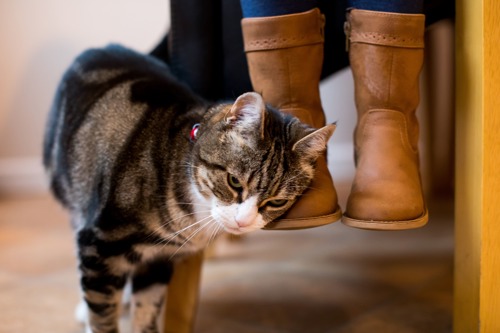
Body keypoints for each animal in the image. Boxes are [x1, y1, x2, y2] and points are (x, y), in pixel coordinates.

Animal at [44, 44, 336, 332]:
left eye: (276, 202)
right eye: (234, 181)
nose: (242, 222)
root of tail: (105, 46)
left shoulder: (159, 259)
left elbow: (147, 309)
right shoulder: (100, 243)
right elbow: (102, 316)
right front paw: (97, 315)